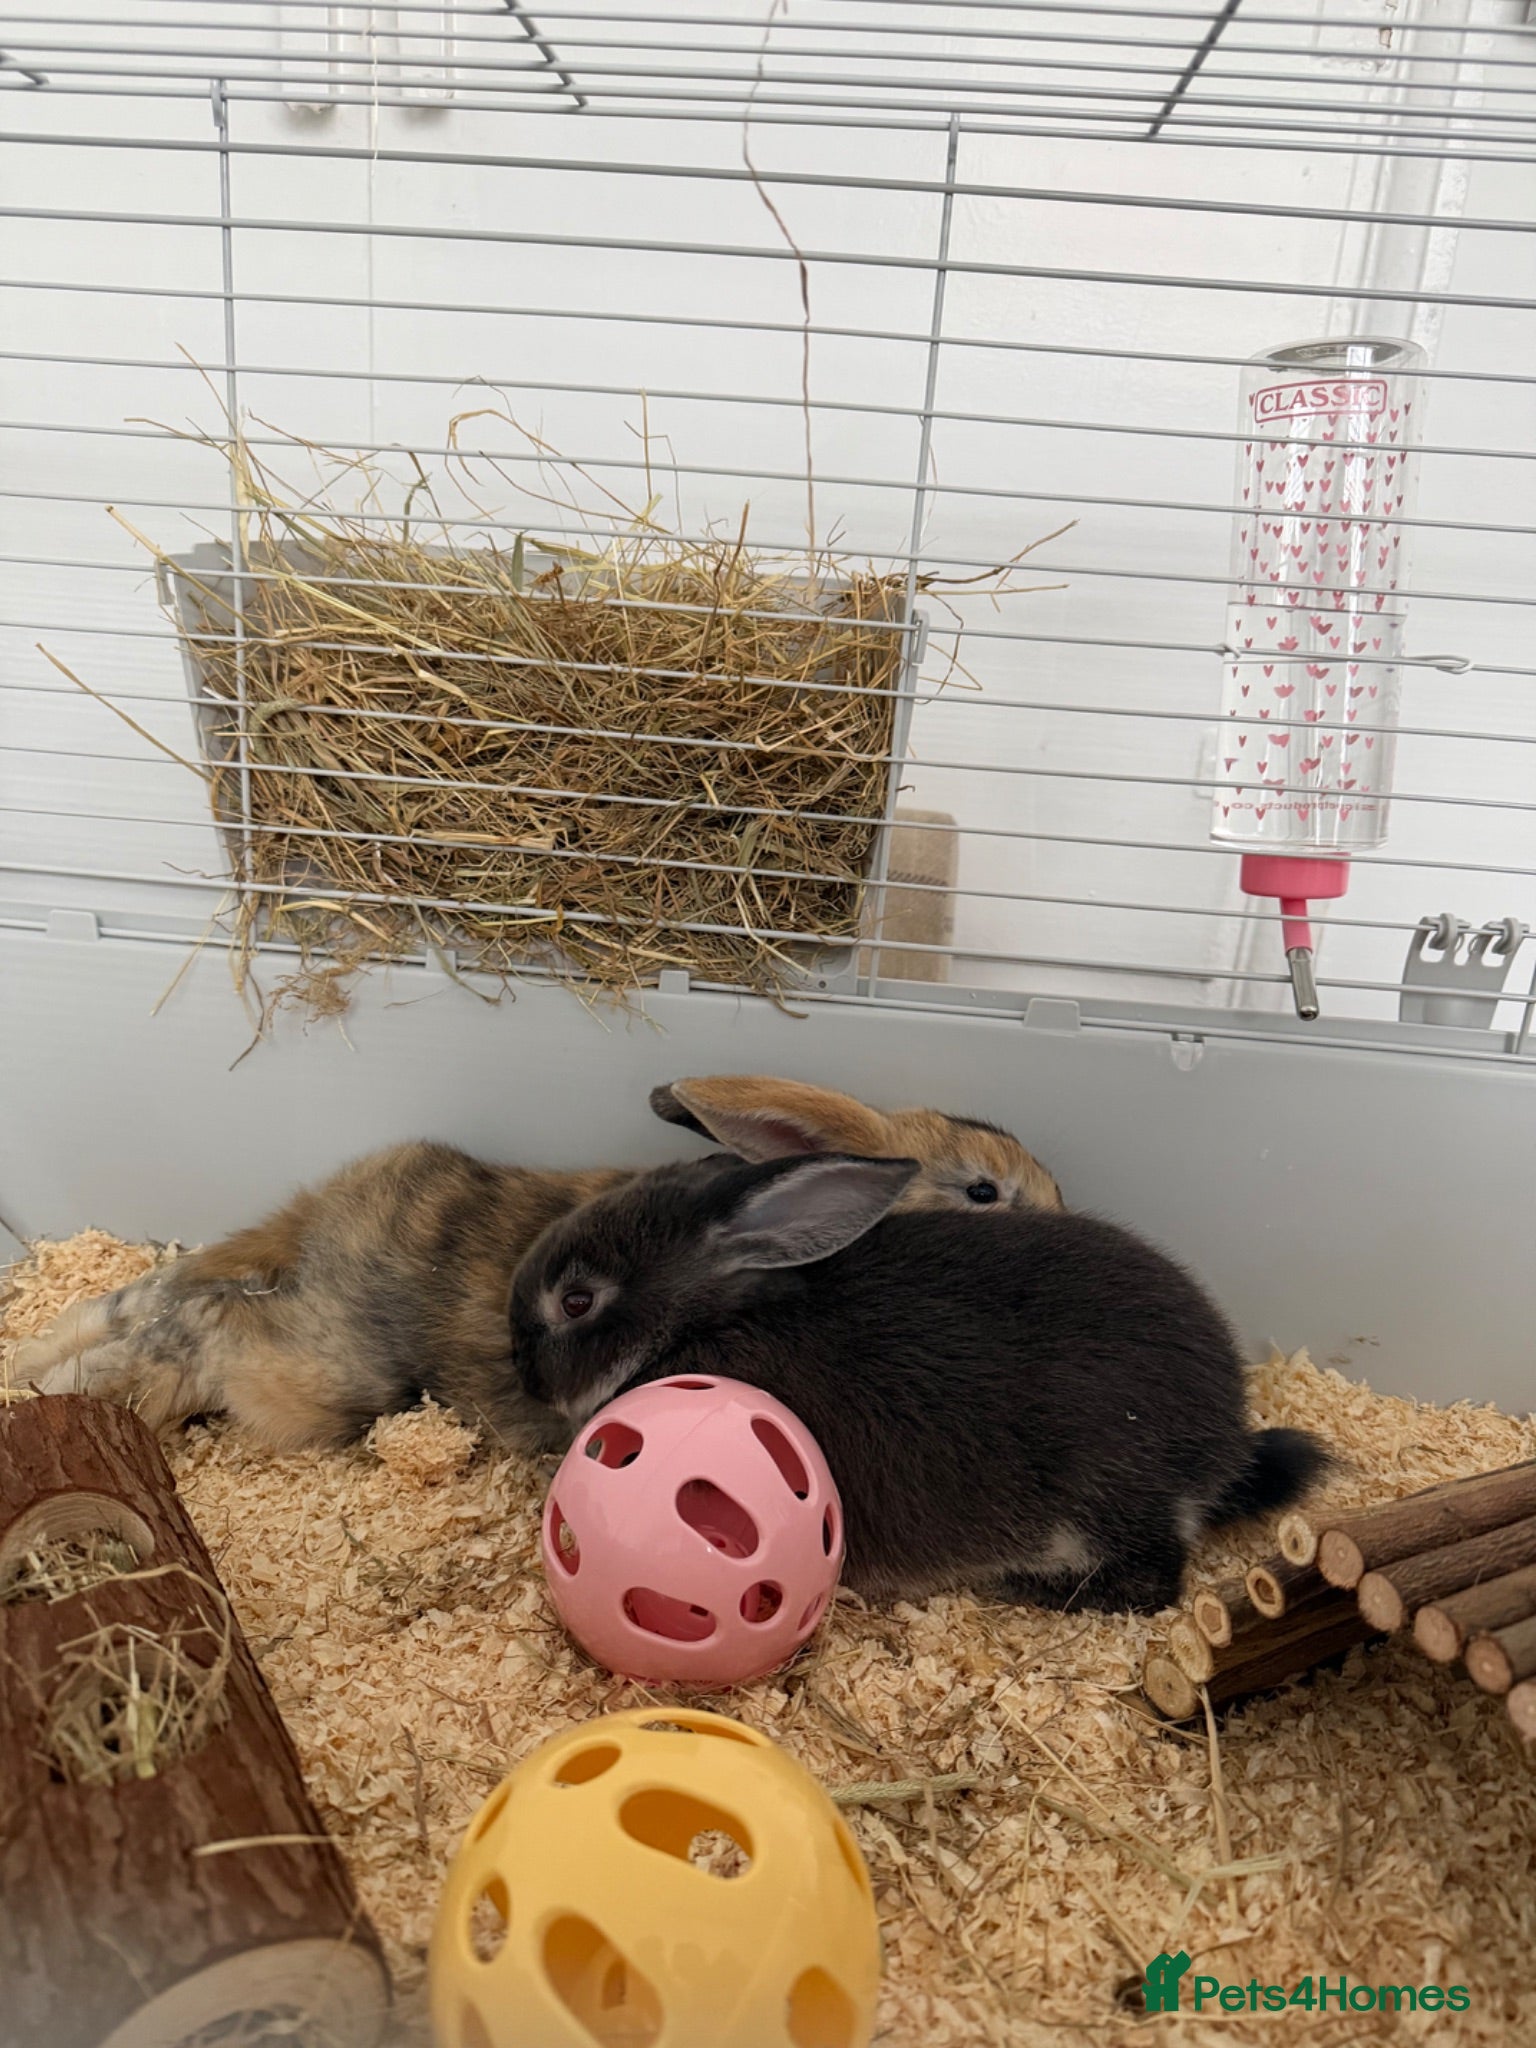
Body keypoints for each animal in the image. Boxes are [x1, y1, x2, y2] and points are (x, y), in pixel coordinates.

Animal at [15, 1080, 1061, 1453]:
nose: (1063, 1214)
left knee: (145, 1304)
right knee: (203, 1327)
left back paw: (31, 1368)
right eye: (983, 1190)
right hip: (323, 1385)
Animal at [507, 1152, 1329, 1613]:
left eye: (576, 1301)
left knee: (1154, 1581)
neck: (707, 1315)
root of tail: (1222, 1453)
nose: (523, 1369)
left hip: (1100, 1499)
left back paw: (1027, 1591)